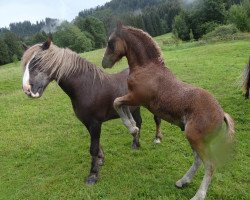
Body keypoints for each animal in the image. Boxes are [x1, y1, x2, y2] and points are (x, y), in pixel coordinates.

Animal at [21, 39, 162, 185]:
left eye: (38, 61)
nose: (27, 89)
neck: (88, 87)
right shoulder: (88, 123)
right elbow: (97, 144)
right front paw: (100, 160)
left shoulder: (95, 123)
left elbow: (93, 148)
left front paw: (93, 175)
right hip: (135, 108)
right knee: (138, 123)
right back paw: (135, 143)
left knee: (156, 119)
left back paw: (157, 139)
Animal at [101, 23, 234, 200]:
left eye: (110, 42)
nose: (104, 63)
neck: (147, 68)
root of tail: (222, 114)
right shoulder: (133, 98)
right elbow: (122, 105)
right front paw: (134, 127)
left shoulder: (136, 97)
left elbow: (116, 102)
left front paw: (132, 128)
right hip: (196, 139)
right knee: (198, 160)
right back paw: (183, 181)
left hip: (195, 138)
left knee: (210, 164)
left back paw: (199, 194)